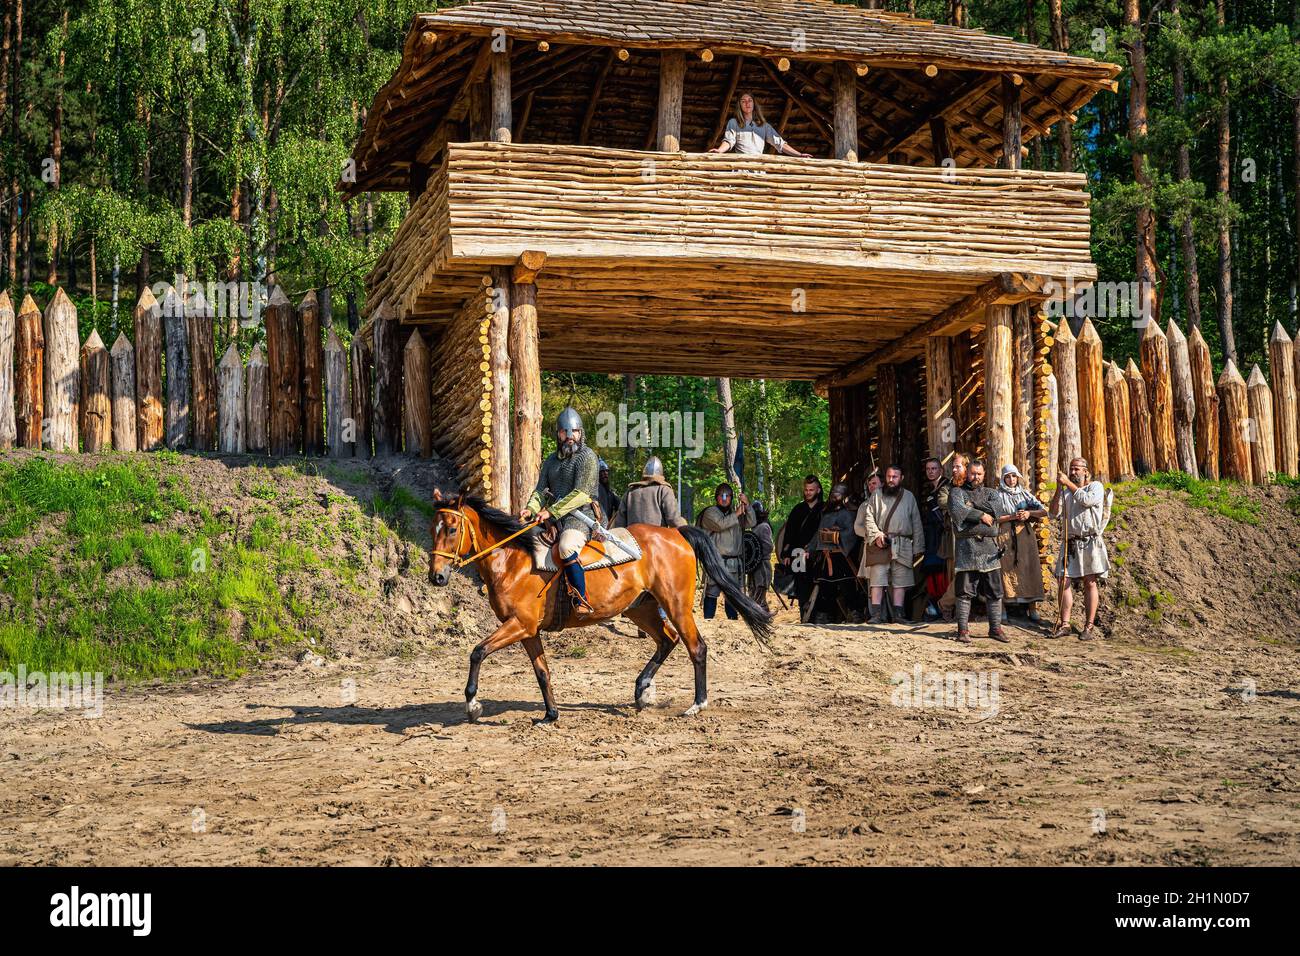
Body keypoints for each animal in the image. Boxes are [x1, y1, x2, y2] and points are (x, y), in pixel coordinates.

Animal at [426, 489, 769, 723]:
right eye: (434, 530)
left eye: (453, 530)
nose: (437, 576)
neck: (513, 561)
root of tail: (675, 533)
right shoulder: (528, 631)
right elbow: (542, 672)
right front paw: (550, 715)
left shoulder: (519, 625)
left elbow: (478, 651)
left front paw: (472, 704)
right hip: (640, 609)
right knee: (667, 640)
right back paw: (642, 689)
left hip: (676, 606)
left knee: (696, 647)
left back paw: (697, 704)